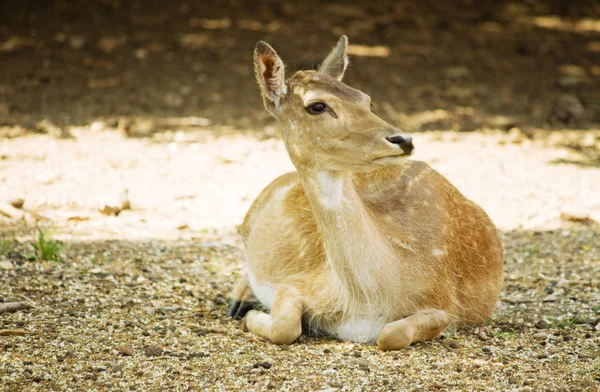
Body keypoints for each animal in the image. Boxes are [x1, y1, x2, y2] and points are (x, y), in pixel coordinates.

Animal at [227, 35, 504, 350]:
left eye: (366, 99)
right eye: (316, 105)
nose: (403, 139)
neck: (365, 304)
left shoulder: (444, 302)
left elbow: (392, 334)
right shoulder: (297, 284)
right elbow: (285, 325)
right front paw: (253, 315)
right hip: (250, 215)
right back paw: (238, 302)